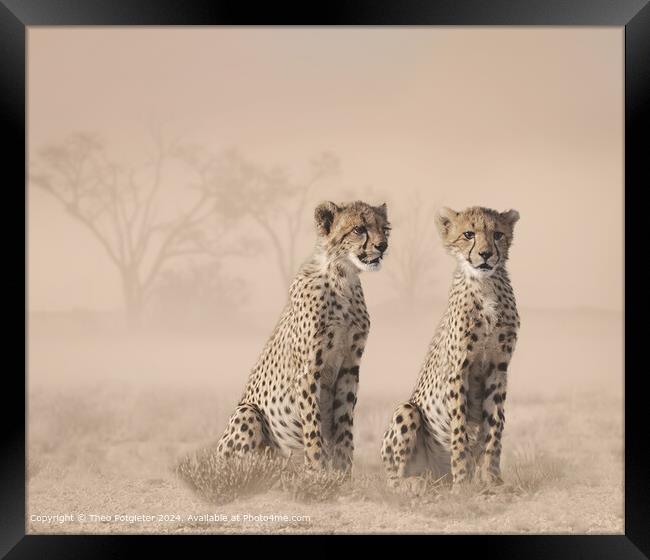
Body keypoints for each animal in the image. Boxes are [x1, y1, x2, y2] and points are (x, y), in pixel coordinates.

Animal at [216, 199, 390, 470]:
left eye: (385, 229)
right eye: (359, 229)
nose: (383, 246)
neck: (343, 278)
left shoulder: (350, 366)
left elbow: (344, 425)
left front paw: (343, 471)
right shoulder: (309, 370)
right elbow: (312, 424)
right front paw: (317, 470)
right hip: (248, 412)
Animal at [378, 206, 520, 490]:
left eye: (498, 235)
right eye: (468, 234)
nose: (485, 254)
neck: (485, 285)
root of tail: (437, 477)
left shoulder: (498, 369)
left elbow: (494, 429)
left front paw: (492, 480)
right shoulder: (458, 370)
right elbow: (459, 431)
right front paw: (462, 483)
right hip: (407, 410)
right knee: (392, 479)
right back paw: (412, 483)